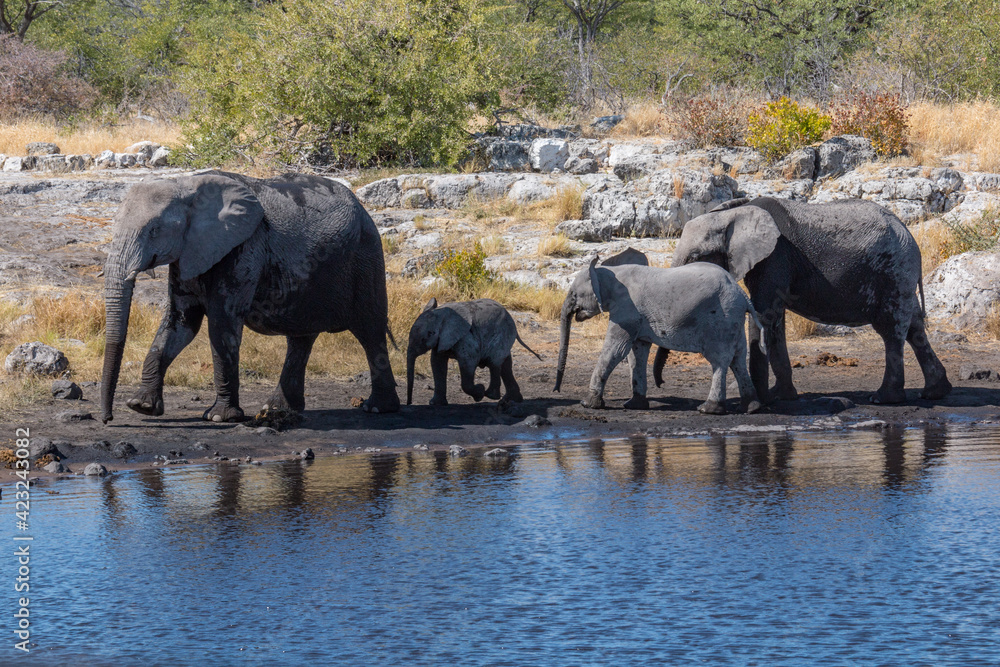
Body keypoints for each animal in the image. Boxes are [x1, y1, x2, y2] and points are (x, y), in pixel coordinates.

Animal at [100, 170, 400, 424]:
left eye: (154, 230)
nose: (107, 419)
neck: (186, 185)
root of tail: (363, 208)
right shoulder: (189, 253)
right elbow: (180, 323)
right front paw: (142, 407)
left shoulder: (243, 249)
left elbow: (221, 325)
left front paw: (219, 417)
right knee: (301, 339)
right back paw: (278, 410)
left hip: (366, 256)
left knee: (370, 331)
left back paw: (377, 408)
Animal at [406, 298, 541, 406]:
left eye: (428, 336)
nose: (409, 403)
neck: (442, 313)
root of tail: (510, 317)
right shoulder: (443, 339)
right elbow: (437, 364)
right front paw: (435, 404)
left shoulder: (466, 337)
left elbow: (468, 362)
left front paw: (479, 392)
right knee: (506, 365)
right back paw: (512, 400)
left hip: (503, 332)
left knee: (495, 362)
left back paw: (492, 395)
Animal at [554, 256, 765, 414]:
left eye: (574, 295)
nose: (556, 390)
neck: (608, 271)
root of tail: (742, 294)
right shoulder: (635, 317)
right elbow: (637, 353)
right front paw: (634, 406)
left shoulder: (626, 311)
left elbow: (616, 350)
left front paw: (587, 404)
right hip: (734, 320)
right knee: (737, 359)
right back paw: (751, 408)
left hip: (722, 319)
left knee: (720, 360)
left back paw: (708, 409)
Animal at [671, 196, 952, 404]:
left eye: (696, 256)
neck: (732, 214)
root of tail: (907, 232)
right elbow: (775, 321)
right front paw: (780, 397)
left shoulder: (775, 257)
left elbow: (765, 314)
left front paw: (763, 402)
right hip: (900, 273)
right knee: (914, 328)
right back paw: (935, 392)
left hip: (894, 270)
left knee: (891, 329)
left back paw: (883, 399)